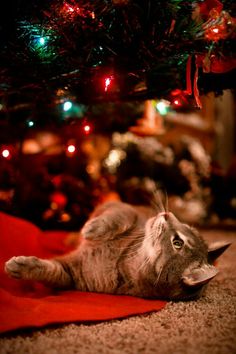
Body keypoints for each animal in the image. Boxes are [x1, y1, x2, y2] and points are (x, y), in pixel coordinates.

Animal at [4, 201, 231, 300]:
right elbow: (118, 216)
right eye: (185, 226)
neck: (122, 260)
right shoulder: (127, 209)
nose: (167, 213)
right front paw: (93, 228)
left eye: (178, 243)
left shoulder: (70, 275)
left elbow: (49, 271)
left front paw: (18, 267)